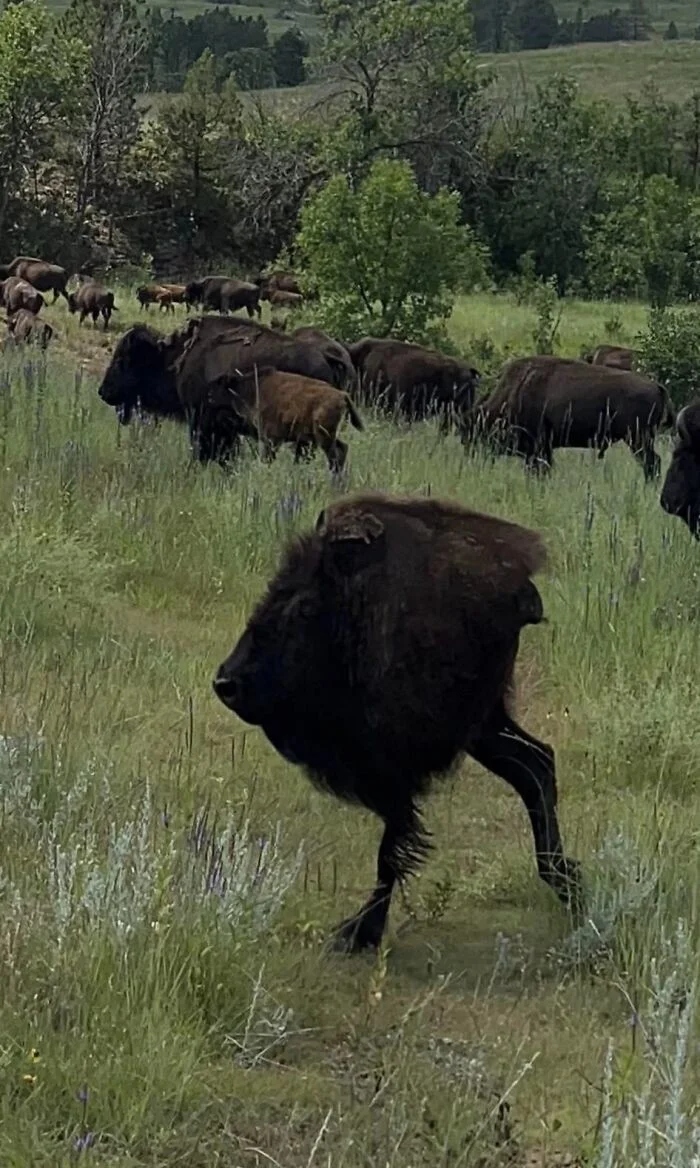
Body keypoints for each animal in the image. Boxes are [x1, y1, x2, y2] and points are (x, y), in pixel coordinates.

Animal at [213, 488, 579, 953]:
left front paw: (359, 932)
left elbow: (392, 847)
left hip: (476, 726)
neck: (353, 608)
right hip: (484, 728)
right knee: (536, 764)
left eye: (304, 606)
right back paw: (570, 889)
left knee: (533, 767)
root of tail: (520, 588)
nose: (226, 682)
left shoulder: (393, 768)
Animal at [467, 352, 677, 476]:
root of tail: (657, 387)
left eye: (476, 429)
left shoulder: (538, 447)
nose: (472, 455)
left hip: (638, 440)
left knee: (652, 463)